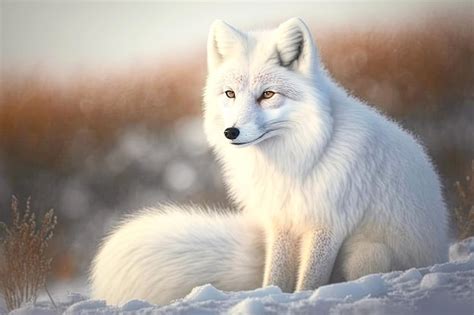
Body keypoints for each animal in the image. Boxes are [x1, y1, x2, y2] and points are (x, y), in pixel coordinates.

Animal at [90, 17, 448, 306]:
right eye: (230, 94)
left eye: (268, 95)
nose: (231, 132)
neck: (294, 163)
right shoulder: (281, 221)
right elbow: (274, 277)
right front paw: (267, 297)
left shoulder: (327, 224)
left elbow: (309, 280)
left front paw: (306, 299)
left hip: (370, 251)